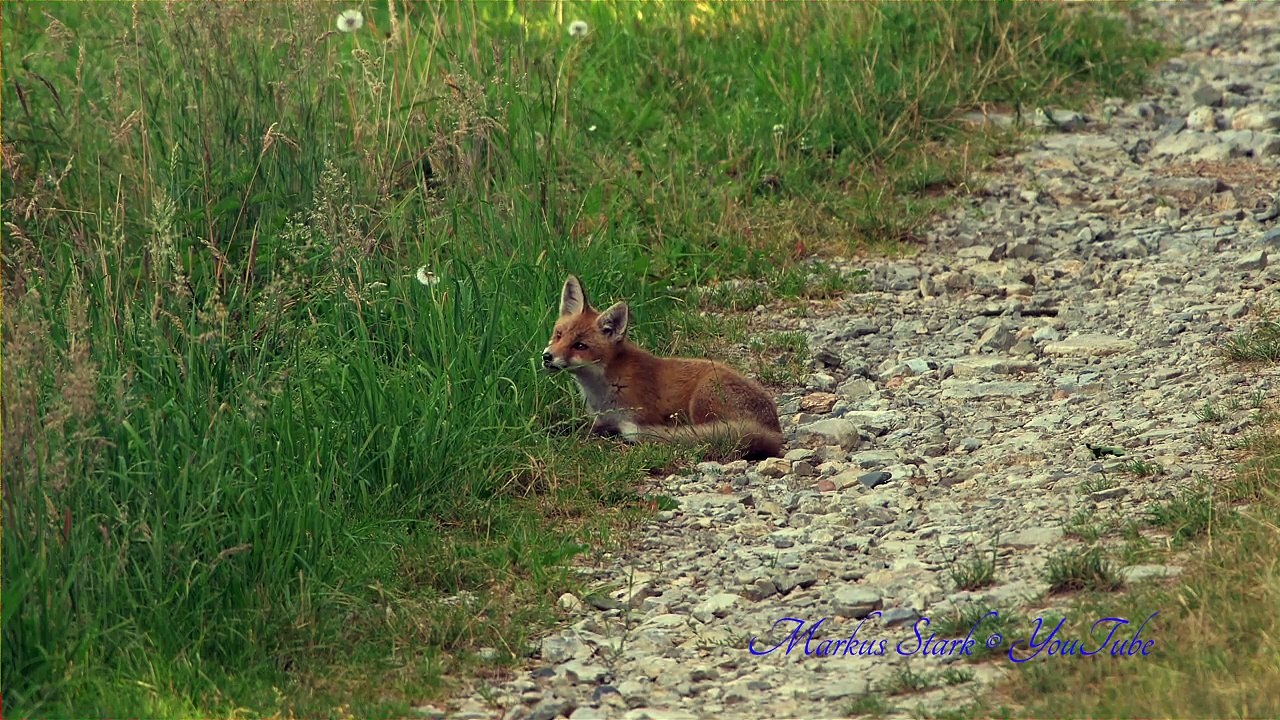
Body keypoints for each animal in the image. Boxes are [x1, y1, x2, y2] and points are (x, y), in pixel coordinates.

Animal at [542, 275, 785, 459]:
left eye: (580, 346)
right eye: (559, 335)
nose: (546, 357)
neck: (603, 387)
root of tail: (774, 430)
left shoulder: (638, 416)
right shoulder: (600, 420)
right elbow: (577, 428)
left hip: (702, 400)